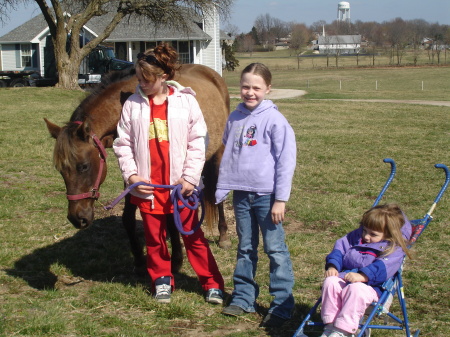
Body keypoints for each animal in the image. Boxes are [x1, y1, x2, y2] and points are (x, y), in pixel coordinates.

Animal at [45, 64, 230, 270]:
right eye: (60, 170)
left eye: (83, 167)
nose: (77, 218)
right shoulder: (133, 172)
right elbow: (128, 218)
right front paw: (140, 260)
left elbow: (171, 216)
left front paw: (176, 260)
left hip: (218, 153)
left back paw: (223, 235)